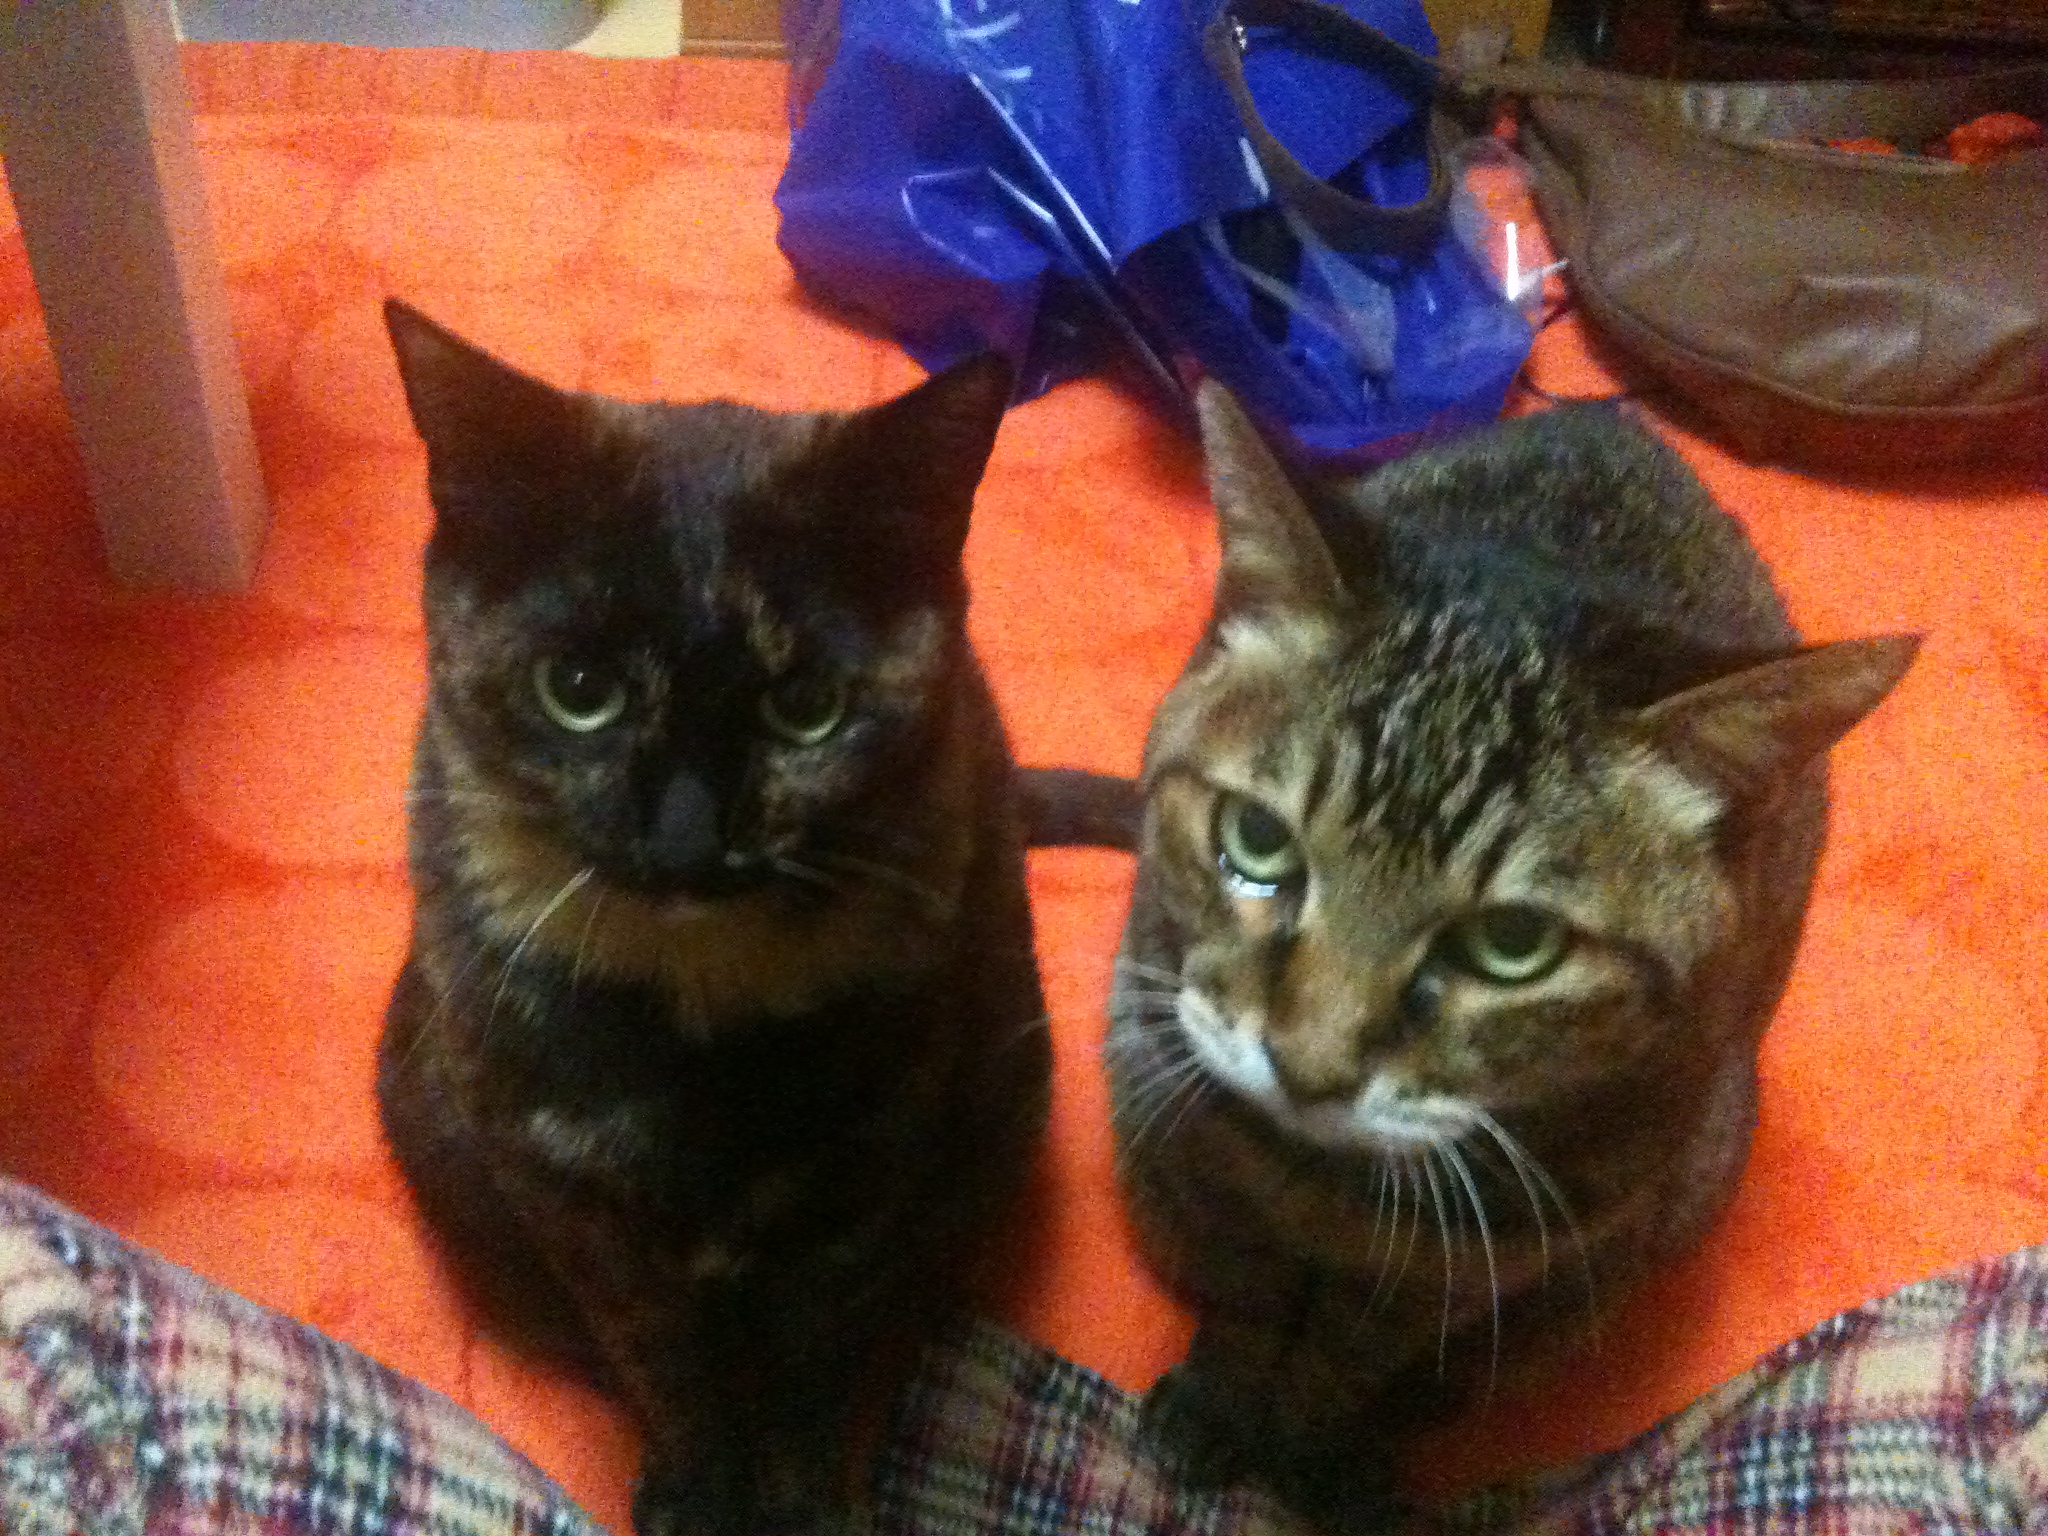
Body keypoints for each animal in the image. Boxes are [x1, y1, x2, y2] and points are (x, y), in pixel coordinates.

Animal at [376, 300, 1062, 1536]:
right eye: (578, 691)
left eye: (808, 709)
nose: (689, 837)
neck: (697, 1004)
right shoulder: (584, 1214)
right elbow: (664, 1371)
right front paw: (696, 1493)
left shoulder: (855, 1195)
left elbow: (809, 1377)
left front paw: (805, 1505)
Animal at [1105, 381, 1917, 1525]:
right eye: (1255, 841)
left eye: (1513, 944)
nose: (1306, 1069)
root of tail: (1614, 414)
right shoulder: (1204, 1146)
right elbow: (1245, 1295)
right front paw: (1222, 1397)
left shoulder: (1475, 1265)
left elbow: (1350, 1358)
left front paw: (1311, 1447)